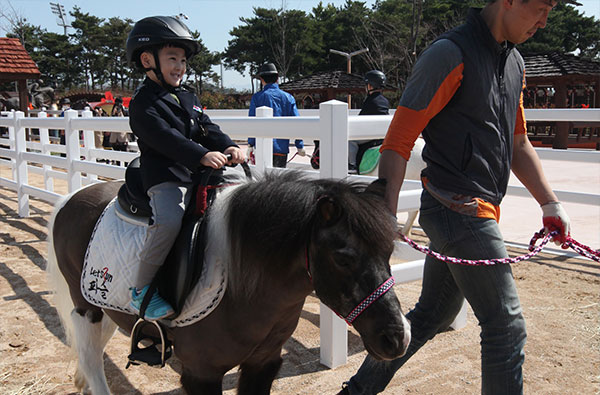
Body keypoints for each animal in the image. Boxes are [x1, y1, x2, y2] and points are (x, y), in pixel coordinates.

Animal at [48, 172, 412, 394]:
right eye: (343, 258)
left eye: (389, 251)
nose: (397, 337)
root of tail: (73, 197)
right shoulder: (201, 373)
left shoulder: (263, 363)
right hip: (85, 306)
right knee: (91, 357)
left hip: (106, 305)